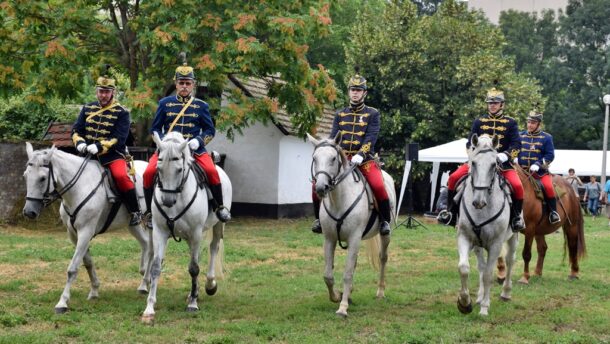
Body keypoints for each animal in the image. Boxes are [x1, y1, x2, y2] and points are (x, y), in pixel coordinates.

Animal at [23, 143, 152, 314]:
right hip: (133, 224)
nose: (29, 212)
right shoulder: (74, 234)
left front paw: (62, 302)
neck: (79, 187)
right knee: (146, 244)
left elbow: (72, 268)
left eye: (43, 178)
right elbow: (88, 263)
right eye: (25, 176)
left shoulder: (86, 231)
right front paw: (94, 291)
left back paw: (147, 279)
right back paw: (143, 282)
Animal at [141, 130, 232, 324]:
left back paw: (209, 285)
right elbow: (156, 267)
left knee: (213, 248)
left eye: (179, 169)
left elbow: (194, 268)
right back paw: (193, 292)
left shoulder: (196, 233)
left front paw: (193, 304)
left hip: (217, 225)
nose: (167, 201)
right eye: (159, 169)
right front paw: (149, 309)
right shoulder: (159, 232)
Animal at [306, 134, 396, 318]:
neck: (339, 199)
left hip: (385, 234)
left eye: (333, 158)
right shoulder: (330, 239)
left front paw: (343, 307)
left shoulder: (354, 237)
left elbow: (347, 273)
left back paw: (380, 291)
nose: (321, 187)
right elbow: (328, 275)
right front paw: (337, 296)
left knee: (383, 258)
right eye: (314, 158)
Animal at [456, 133, 516, 316]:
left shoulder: (495, 244)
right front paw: (465, 302)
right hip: (478, 245)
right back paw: (480, 296)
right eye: (474, 163)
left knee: (510, 260)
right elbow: (464, 268)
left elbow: (489, 274)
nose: (478, 202)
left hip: (514, 237)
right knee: (481, 267)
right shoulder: (465, 237)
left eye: (494, 164)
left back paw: (505, 293)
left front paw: (484, 308)